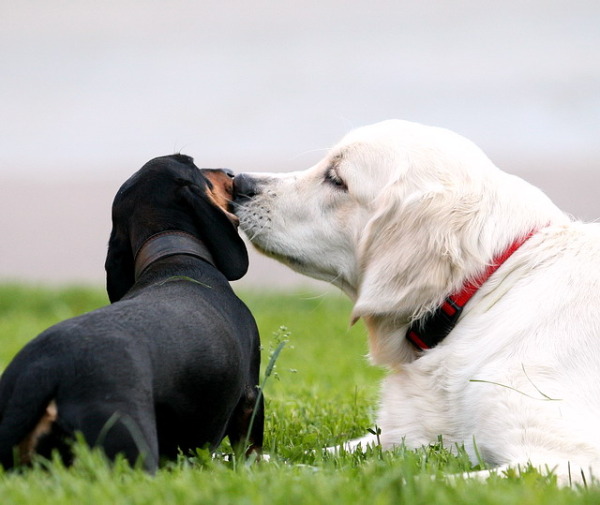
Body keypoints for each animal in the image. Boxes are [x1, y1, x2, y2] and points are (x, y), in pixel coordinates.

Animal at [0, 155, 262, 472]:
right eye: (191, 164)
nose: (231, 173)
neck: (174, 258)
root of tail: (44, 371)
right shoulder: (252, 395)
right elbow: (252, 450)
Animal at [232, 119, 600, 484]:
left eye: (337, 179)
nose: (238, 182)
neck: (483, 290)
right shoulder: (404, 431)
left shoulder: (569, 461)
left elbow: (413, 480)